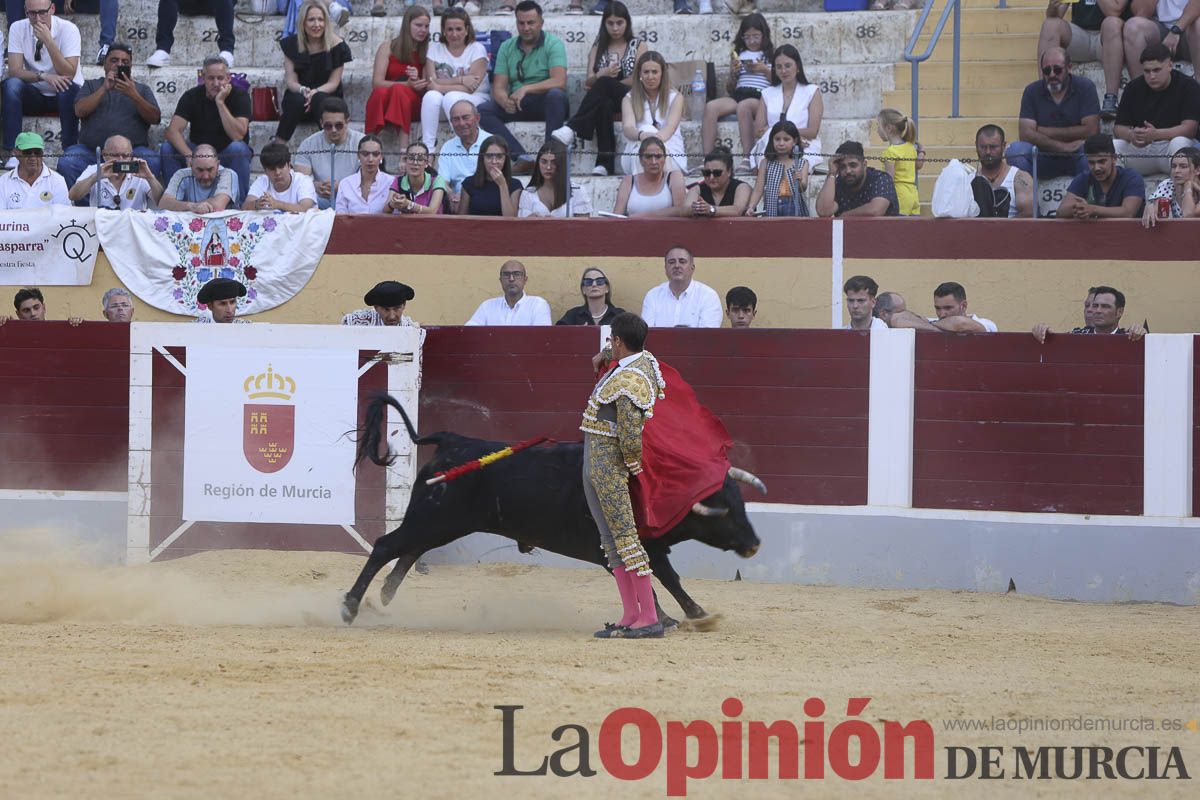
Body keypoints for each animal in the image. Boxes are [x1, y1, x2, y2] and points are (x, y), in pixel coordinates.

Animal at [343, 393, 763, 623]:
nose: (755, 543)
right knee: (387, 545)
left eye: (741, 503)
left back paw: (384, 597)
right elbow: (653, 581)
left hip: (443, 523)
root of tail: (452, 440)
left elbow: (669, 579)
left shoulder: (650, 547)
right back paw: (351, 606)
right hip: (434, 517)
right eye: (725, 511)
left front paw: (696, 614)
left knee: (410, 549)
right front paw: (665, 618)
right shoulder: (620, 546)